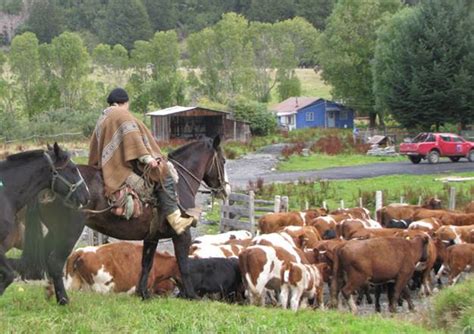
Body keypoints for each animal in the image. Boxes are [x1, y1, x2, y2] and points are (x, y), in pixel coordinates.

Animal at [14, 136, 230, 306]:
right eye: (223, 160)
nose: (226, 189)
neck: (179, 184)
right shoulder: (181, 234)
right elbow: (183, 264)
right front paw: (191, 295)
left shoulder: (151, 237)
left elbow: (146, 263)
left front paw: (143, 294)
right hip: (68, 232)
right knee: (55, 261)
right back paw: (63, 300)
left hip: (54, 231)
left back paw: (51, 292)